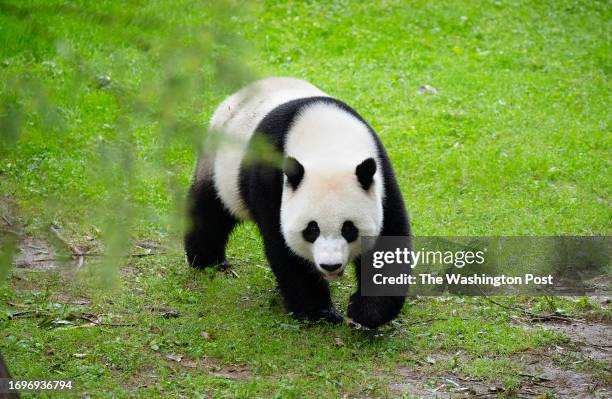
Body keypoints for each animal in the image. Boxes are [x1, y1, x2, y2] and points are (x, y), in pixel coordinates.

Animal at [184, 77, 408, 328]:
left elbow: (389, 240)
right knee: (211, 210)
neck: (329, 145)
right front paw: (319, 312)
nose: (330, 266)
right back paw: (207, 260)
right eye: (312, 229)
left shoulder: (381, 177)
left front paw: (365, 311)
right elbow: (284, 246)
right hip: (219, 164)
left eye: (349, 229)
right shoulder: (270, 177)